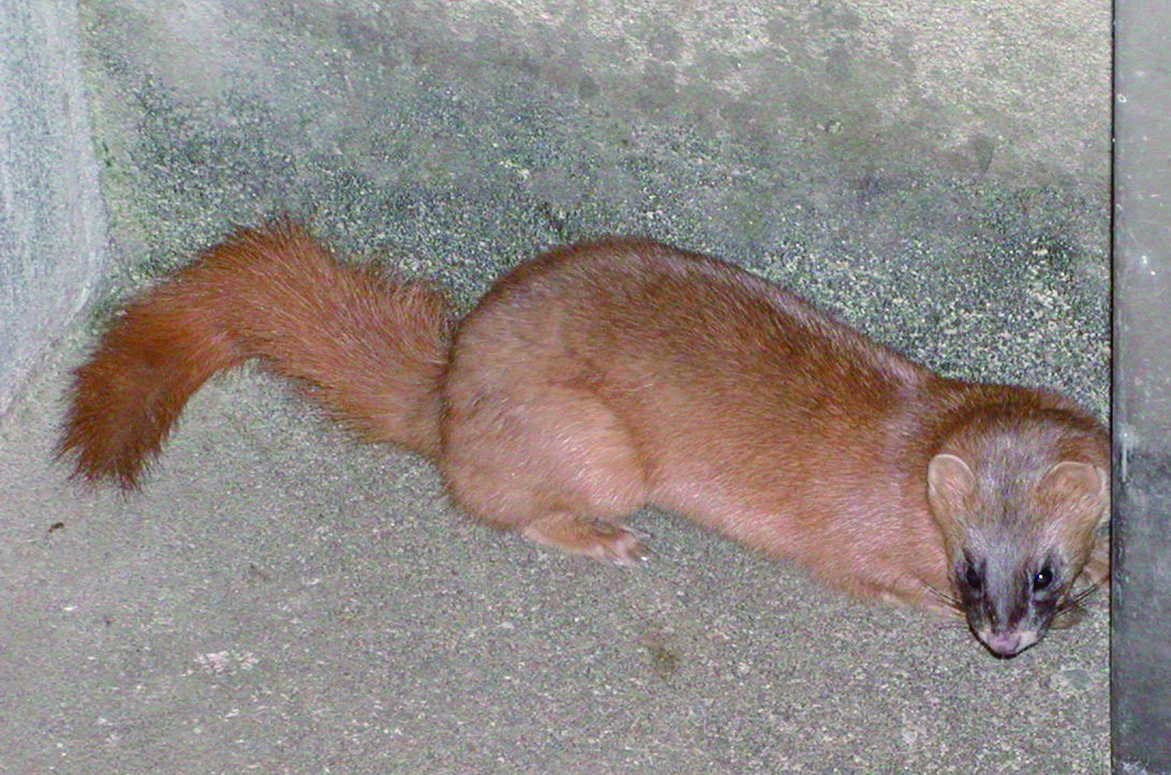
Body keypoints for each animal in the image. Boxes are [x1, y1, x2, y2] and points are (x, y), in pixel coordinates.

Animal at [61, 221, 1105, 660]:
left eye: (1042, 567)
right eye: (970, 566)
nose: (1004, 636)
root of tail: (449, 386)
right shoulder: (859, 549)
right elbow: (875, 581)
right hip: (600, 450)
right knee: (491, 500)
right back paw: (603, 540)